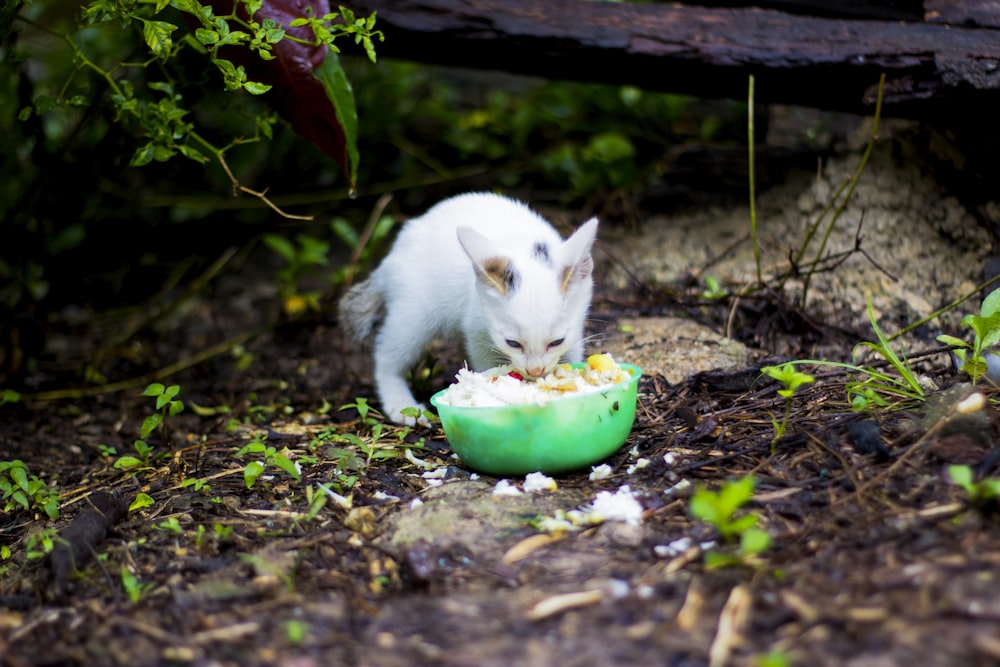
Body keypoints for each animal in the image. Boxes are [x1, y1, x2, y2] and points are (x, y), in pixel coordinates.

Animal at [340, 190, 596, 426]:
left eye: (557, 341)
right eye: (512, 343)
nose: (535, 371)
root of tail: (388, 262)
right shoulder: (477, 326)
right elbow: (484, 361)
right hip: (414, 310)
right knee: (389, 353)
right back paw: (399, 402)